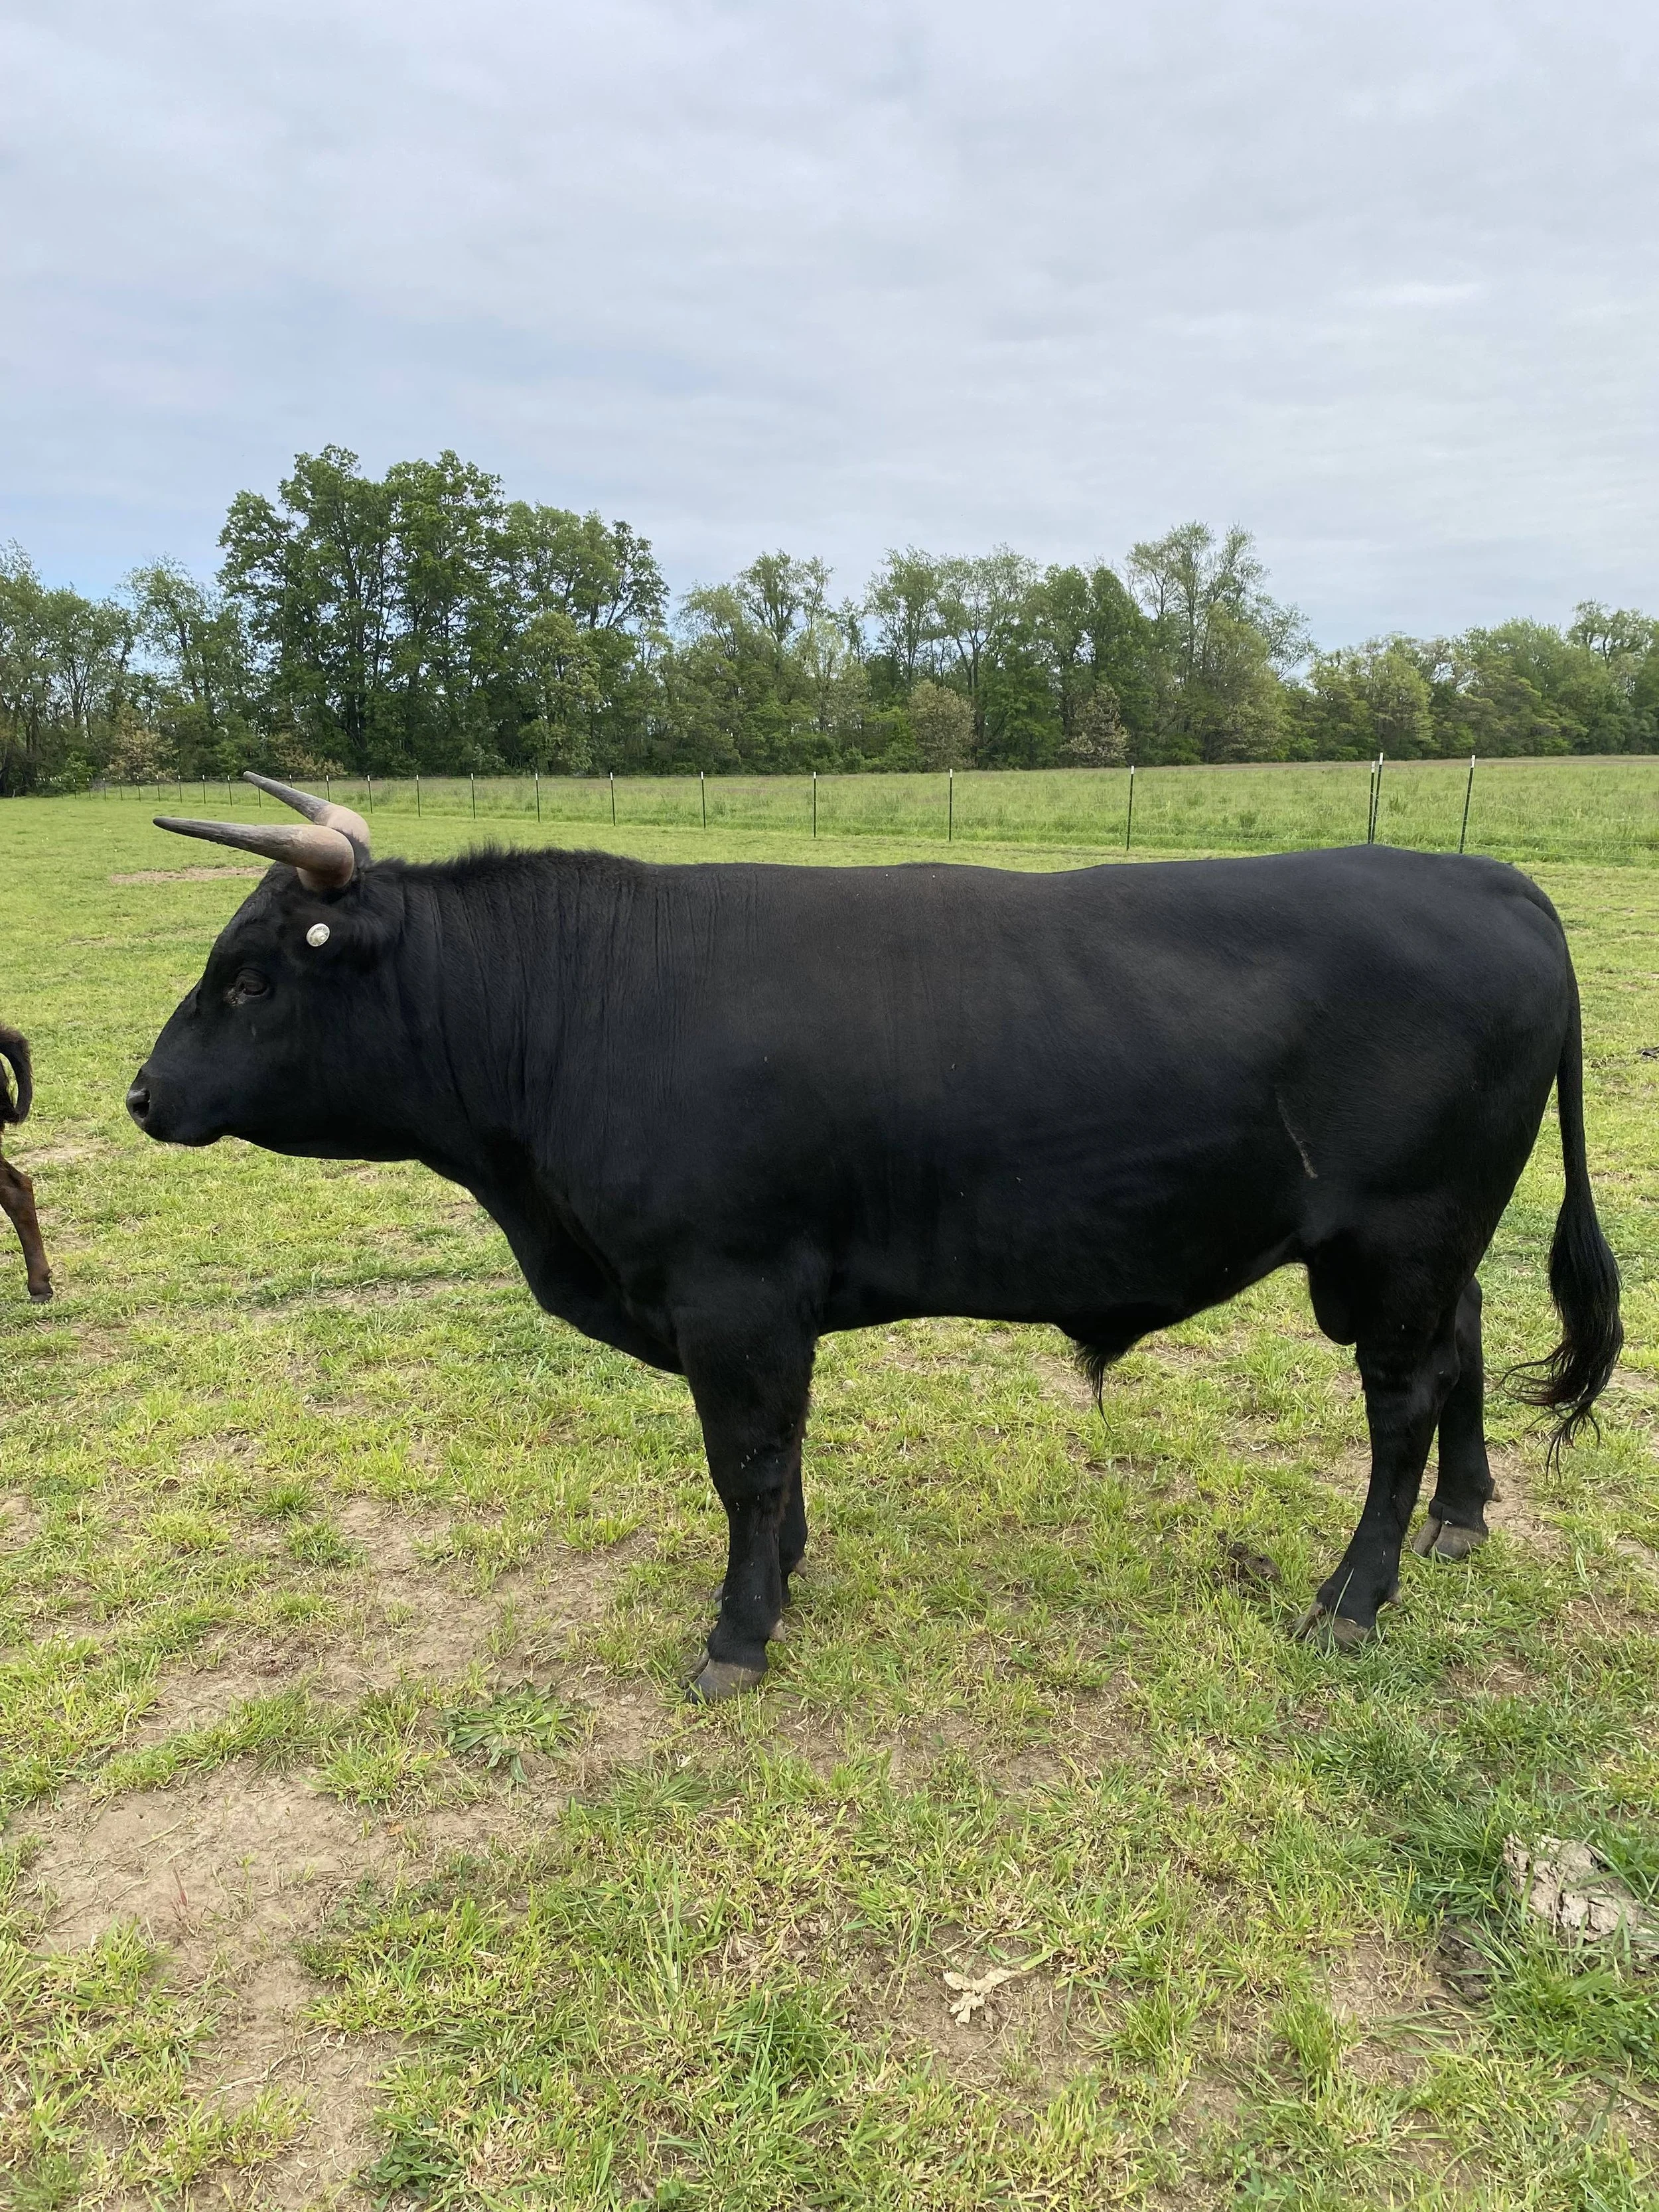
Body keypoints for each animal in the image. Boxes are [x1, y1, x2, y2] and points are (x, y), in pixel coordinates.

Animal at [127, 774, 1621, 1697]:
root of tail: (1490, 879)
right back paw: (1462, 1518)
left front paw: (737, 1632)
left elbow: (740, 1462)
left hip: (1396, 1238)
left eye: (248, 977)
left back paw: (1354, 1594)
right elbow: (777, 1458)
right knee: (1463, 1344)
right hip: (1430, 1244)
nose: (141, 1095)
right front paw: (785, 1575)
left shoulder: (728, 1292)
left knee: (1401, 1399)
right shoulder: (760, 1307)